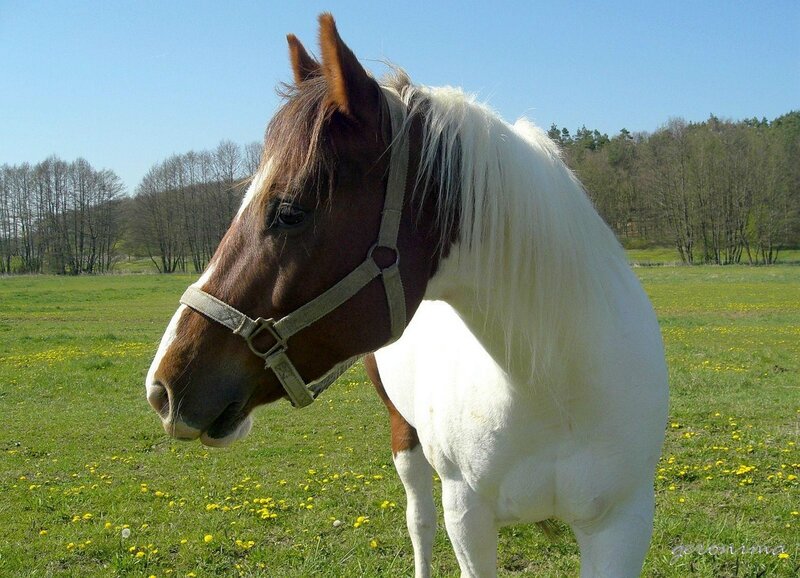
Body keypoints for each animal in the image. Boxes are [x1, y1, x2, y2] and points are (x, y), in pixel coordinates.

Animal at [145, 13, 668, 577]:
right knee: (420, 520)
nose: (163, 387)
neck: (550, 388)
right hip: (404, 432)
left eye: (289, 211)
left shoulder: (622, 525)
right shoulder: (467, 515)